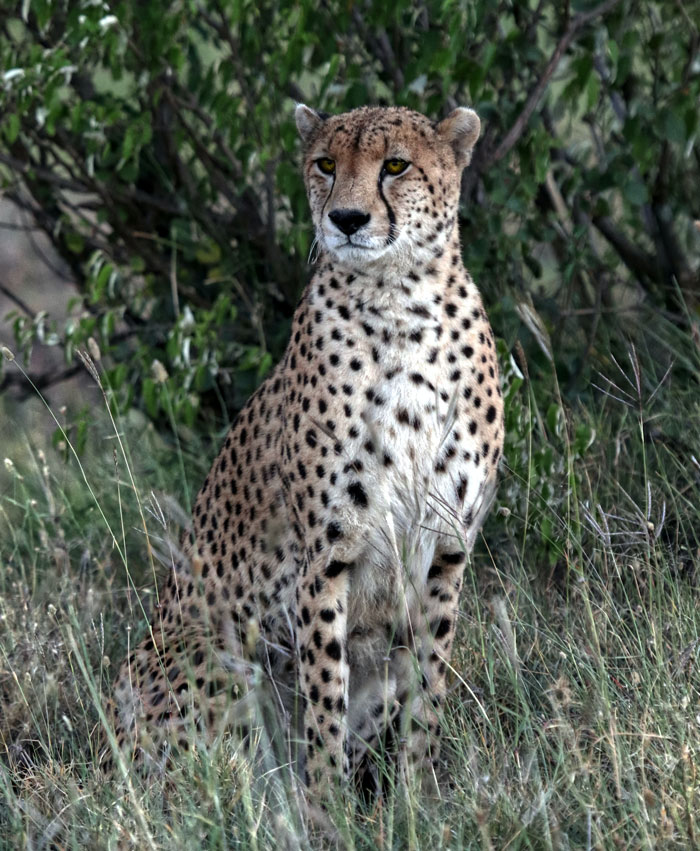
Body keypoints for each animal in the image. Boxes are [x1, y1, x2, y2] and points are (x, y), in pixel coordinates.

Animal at [106, 102, 504, 810]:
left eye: (395, 165)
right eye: (325, 163)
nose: (345, 219)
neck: (399, 299)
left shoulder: (447, 548)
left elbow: (428, 686)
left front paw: (417, 801)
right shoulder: (327, 553)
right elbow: (324, 697)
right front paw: (329, 812)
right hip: (212, 654)